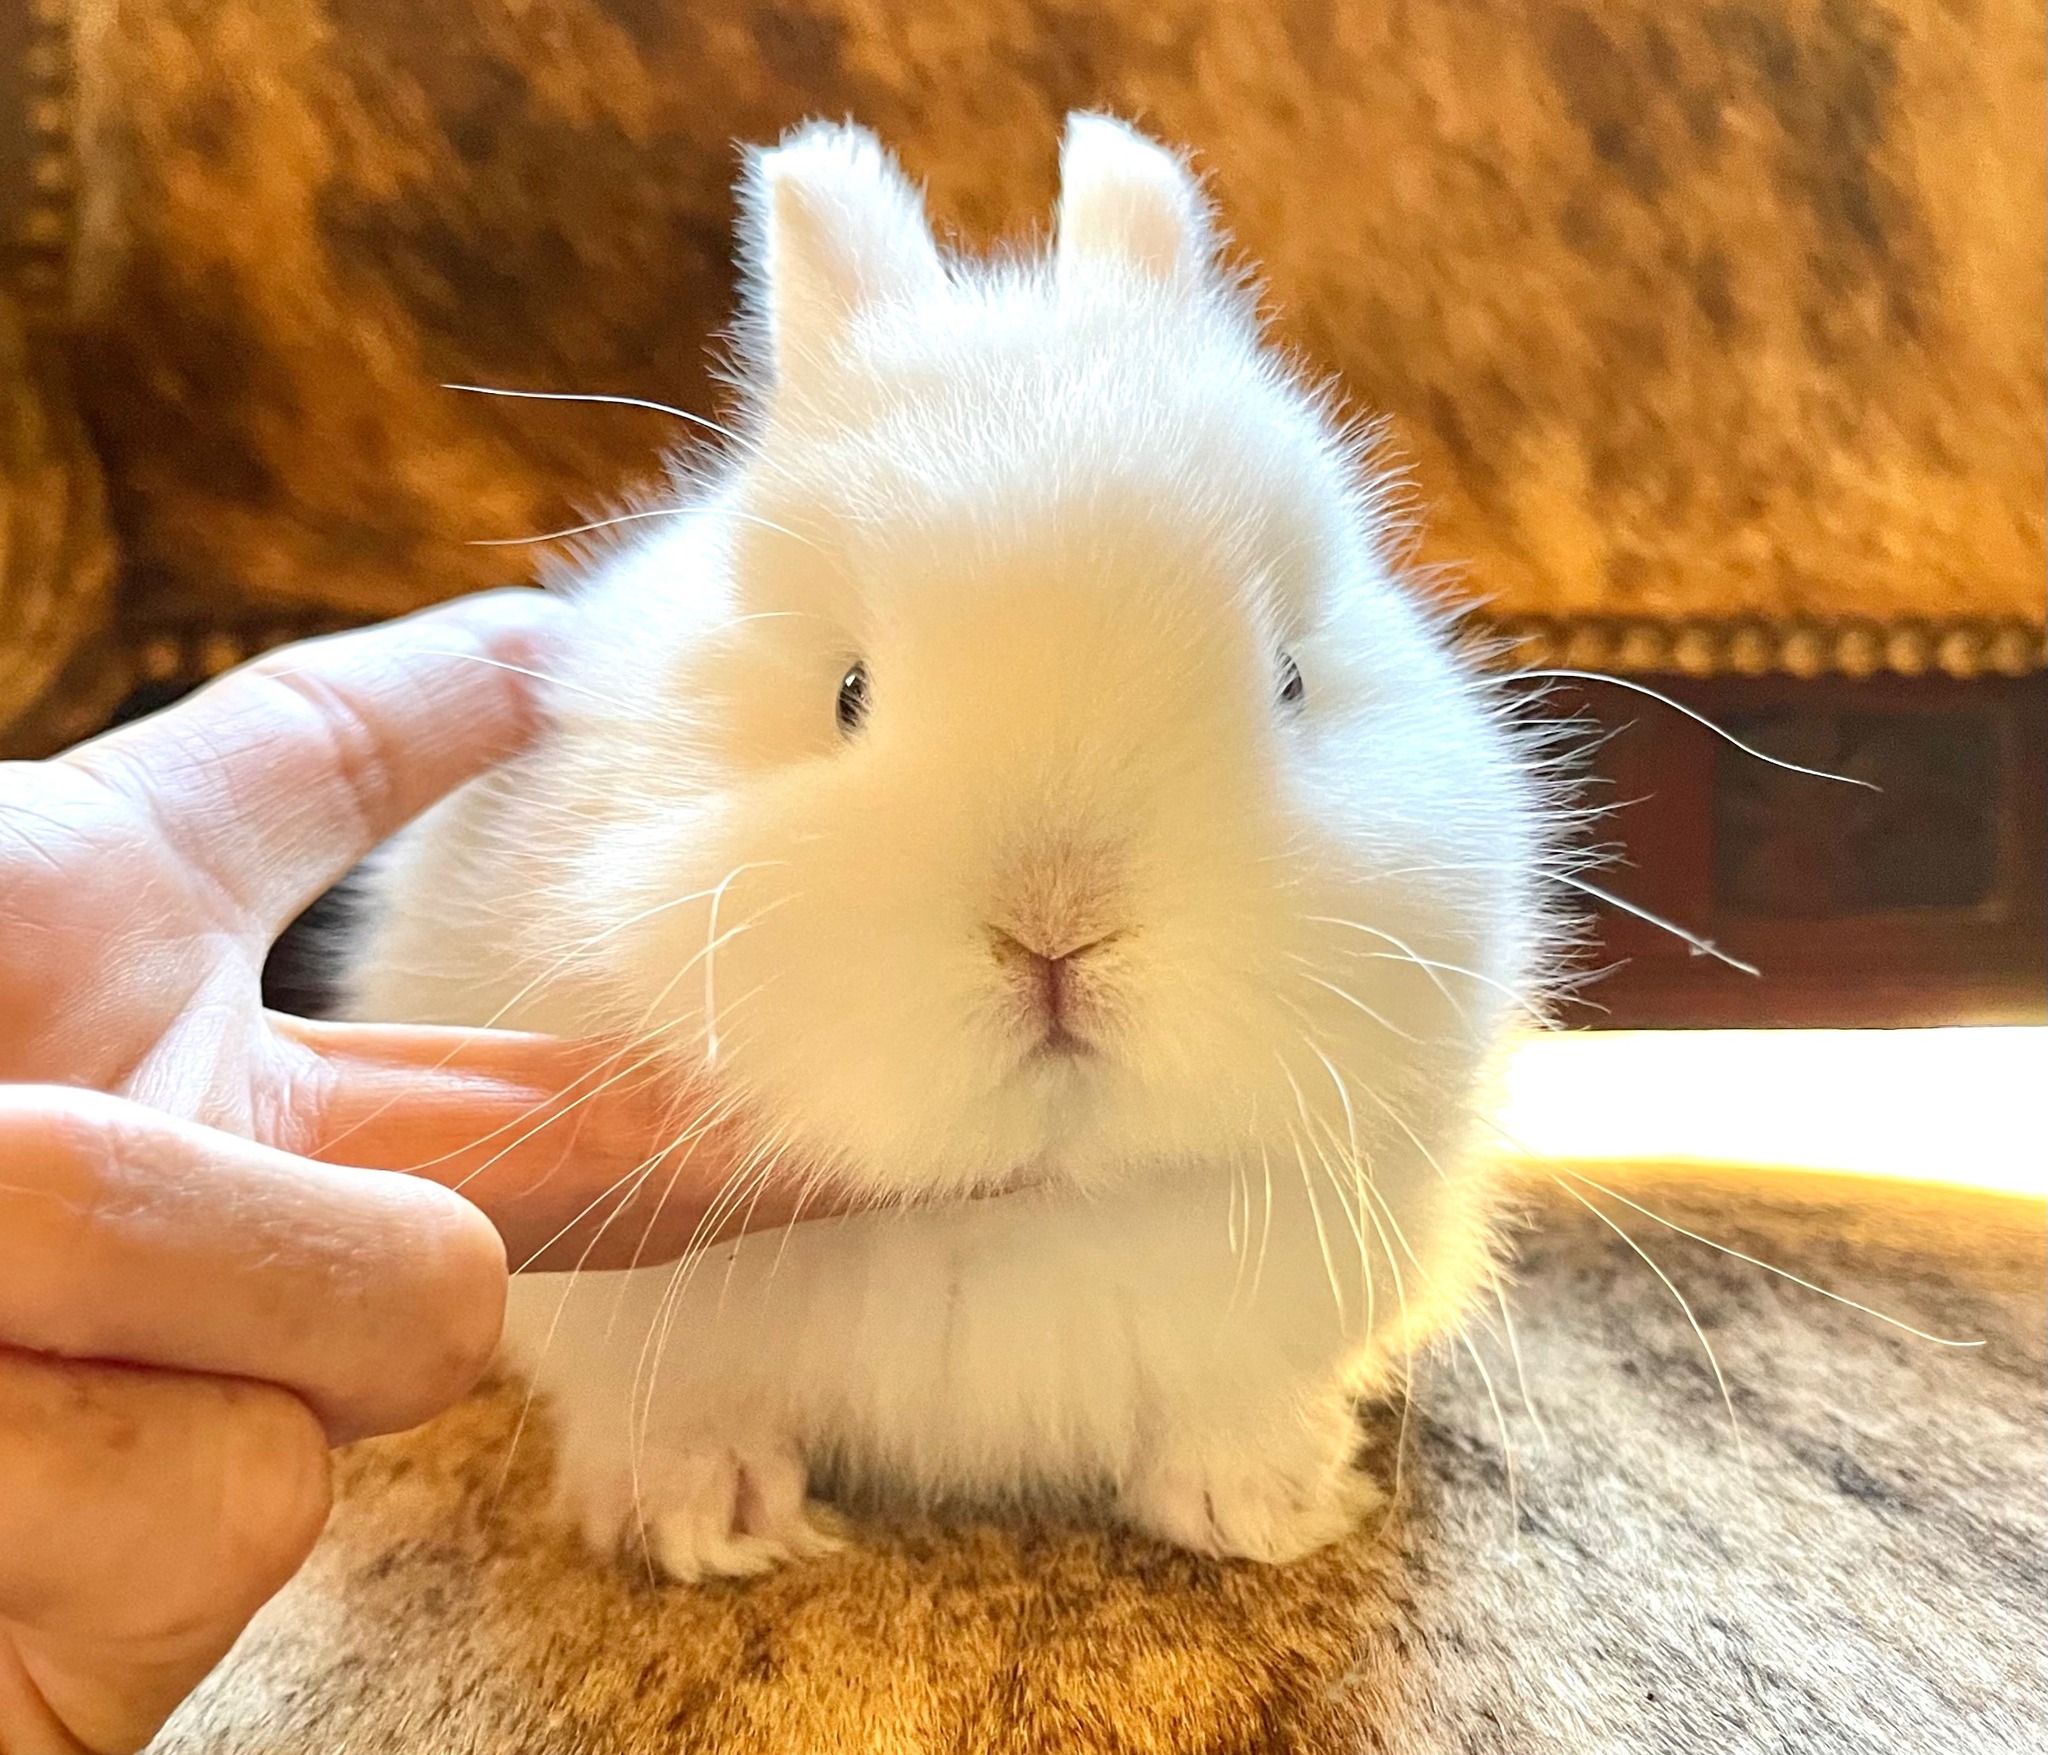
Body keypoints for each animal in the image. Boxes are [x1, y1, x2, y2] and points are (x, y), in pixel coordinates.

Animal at [349, 114, 1564, 1581]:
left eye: (1287, 678)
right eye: (847, 691)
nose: (1055, 928)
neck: (1013, 1208)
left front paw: (1260, 1505)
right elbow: (671, 1400)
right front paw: (704, 1521)